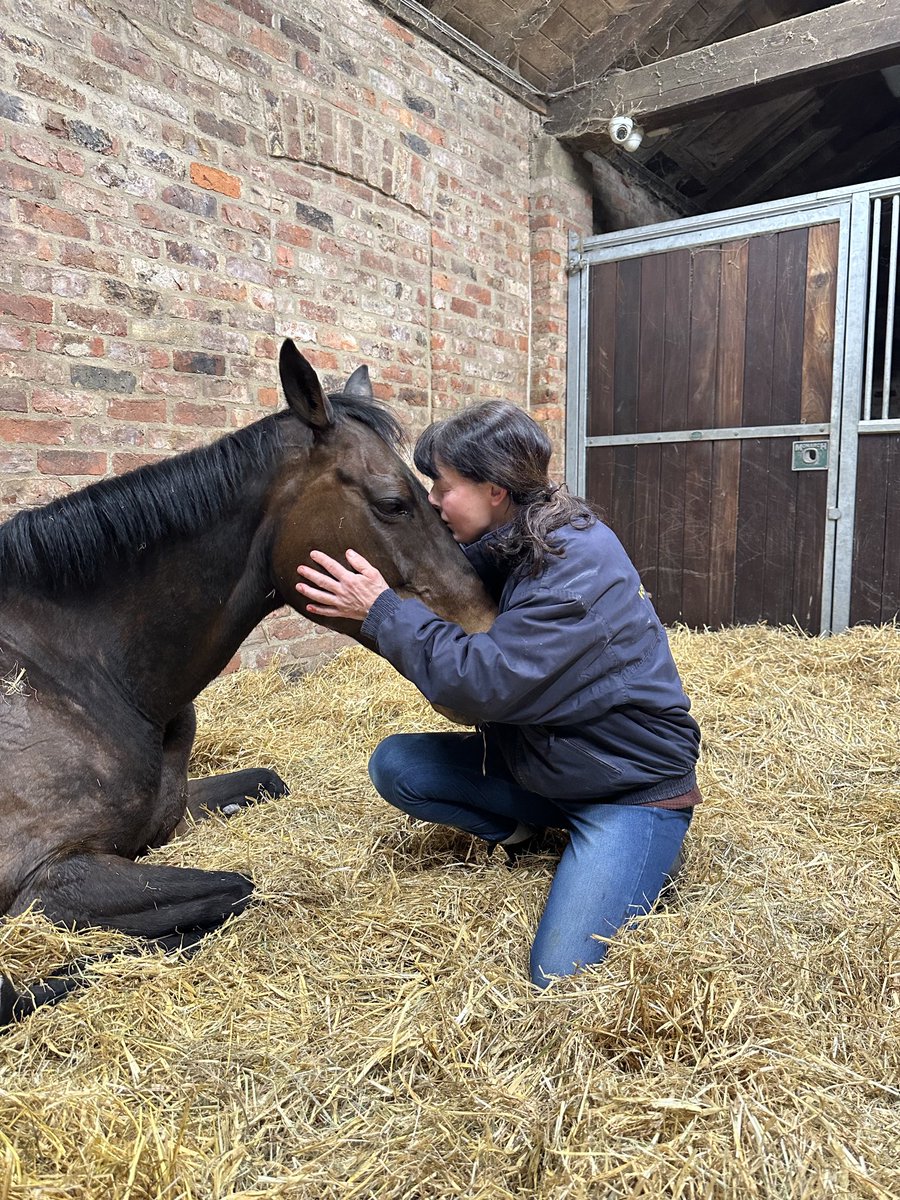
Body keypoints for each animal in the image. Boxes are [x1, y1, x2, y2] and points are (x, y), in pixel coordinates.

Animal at [0, 339, 494, 1024]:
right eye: (394, 502)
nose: (487, 626)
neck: (86, 674)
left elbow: (263, 788)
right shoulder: (45, 879)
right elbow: (233, 889)